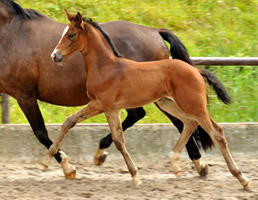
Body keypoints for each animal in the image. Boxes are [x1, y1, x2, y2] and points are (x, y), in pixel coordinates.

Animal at [0, 0, 230, 175]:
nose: (54, 55)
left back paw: (198, 163)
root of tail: (155, 31)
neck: (11, 34)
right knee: (156, 118)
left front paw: (66, 167)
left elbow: (41, 132)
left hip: (160, 97)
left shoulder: (25, 95)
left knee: (178, 121)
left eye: (71, 35)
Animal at [42, 10, 250, 189]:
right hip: (167, 102)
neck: (105, 67)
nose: (54, 55)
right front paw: (135, 176)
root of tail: (196, 70)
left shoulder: (99, 104)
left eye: (71, 35)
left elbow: (69, 121)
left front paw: (45, 162)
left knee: (216, 131)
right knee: (190, 123)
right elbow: (119, 140)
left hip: (193, 105)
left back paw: (242, 178)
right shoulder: (112, 109)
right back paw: (175, 164)